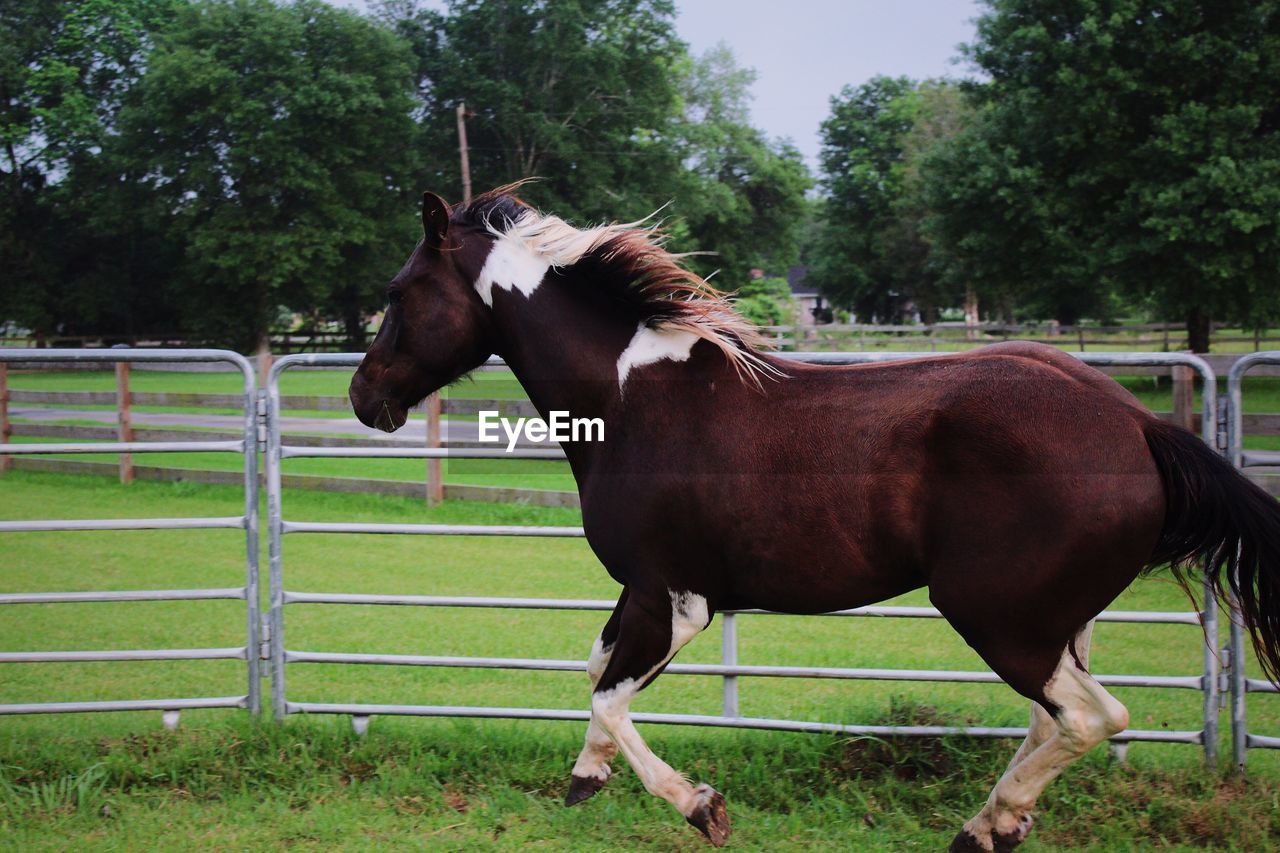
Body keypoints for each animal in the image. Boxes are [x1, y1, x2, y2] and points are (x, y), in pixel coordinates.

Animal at [348, 188, 1280, 850]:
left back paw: (985, 824)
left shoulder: (673, 597)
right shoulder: (645, 593)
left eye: (398, 292)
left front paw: (701, 806)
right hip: (1057, 619)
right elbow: (595, 672)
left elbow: (611, 694)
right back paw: (1001, 823)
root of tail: (1140, 424)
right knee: (1056, 716)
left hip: (997, 613)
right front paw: (586, 777)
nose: (364, 398)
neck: (628, 398)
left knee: (1092, 717)